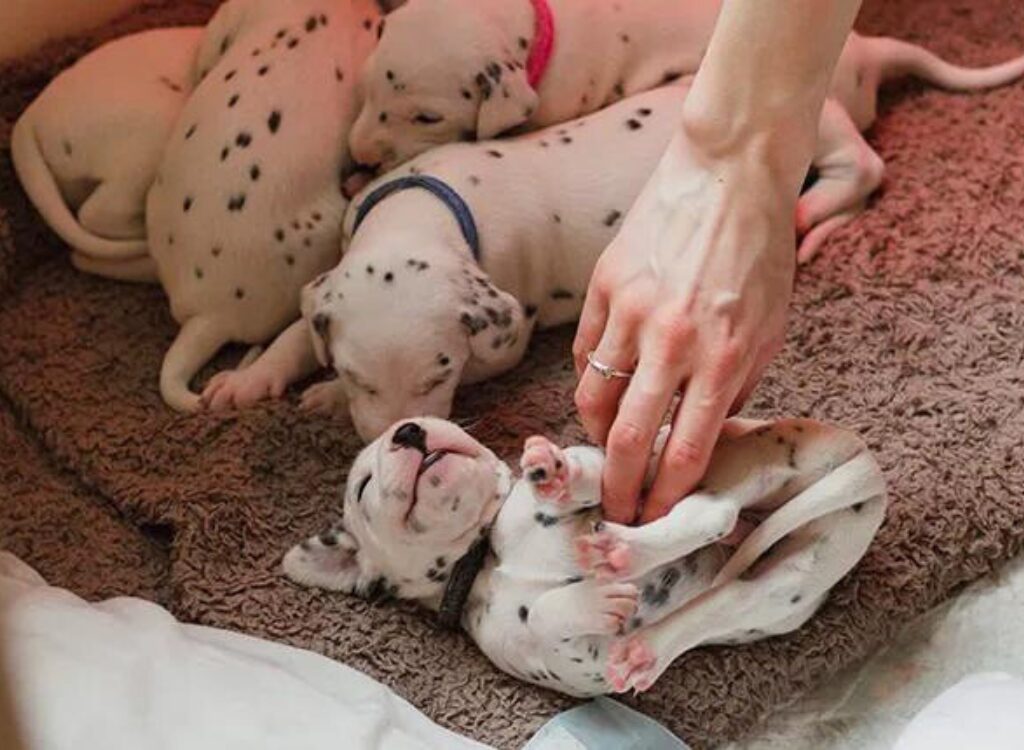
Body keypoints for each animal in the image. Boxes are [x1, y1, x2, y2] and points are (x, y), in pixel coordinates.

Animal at [282, 415, 888, 696]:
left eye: (431, 415)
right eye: (363, 486)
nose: (408, 431)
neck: (487, 557)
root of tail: (863, 460)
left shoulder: (608, 474)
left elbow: (588, 472)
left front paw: (555, 474)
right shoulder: (574, 669)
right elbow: (547, 618)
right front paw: (596, 599)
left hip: (733, 470)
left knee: (710, 511)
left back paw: (622, 547)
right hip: (790, 581)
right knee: (726, 574)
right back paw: (637, 621)